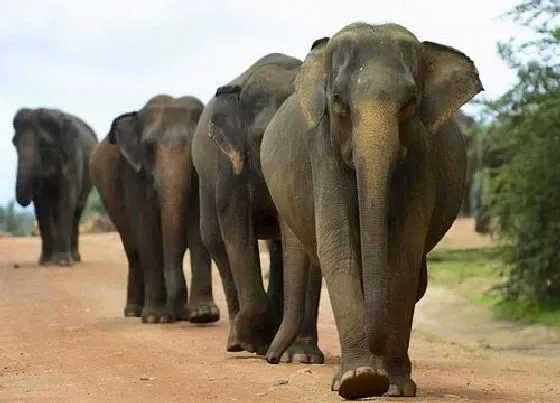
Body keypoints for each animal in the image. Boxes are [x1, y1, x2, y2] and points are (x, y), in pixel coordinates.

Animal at [11, 107, 98, 266]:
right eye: (14, 142)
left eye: (43, 144)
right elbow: (41, 205)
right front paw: (45, 262)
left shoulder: (74, 156)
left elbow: (66, 200)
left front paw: (62, 263)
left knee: (77, 211)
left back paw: (74, 259)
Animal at [89, 94, 219, 326]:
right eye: (148, 148)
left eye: (195, 145)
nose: (178, 312)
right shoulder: (133, 175)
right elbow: (146, 228)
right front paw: (155, 318)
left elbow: (198, 226)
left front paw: (203, 315)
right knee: (133, 250)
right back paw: (135, 311)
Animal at [192, 51, 324, 362]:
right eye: (263, 139)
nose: (272, 359)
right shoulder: (230, 168)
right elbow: (237, 232)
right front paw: (256, 340)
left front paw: (300, 356)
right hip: (205, 183)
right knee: (216, 243)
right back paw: (237, 342)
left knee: (277, 248)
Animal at [260, 25, 484, 400]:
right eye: (338, 102)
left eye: (409, 104)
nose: (270, 361)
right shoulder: (323, 150)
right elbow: (338, 247)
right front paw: (359, 380)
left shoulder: (420, 153)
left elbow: (404, 250)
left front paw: (392, 386)